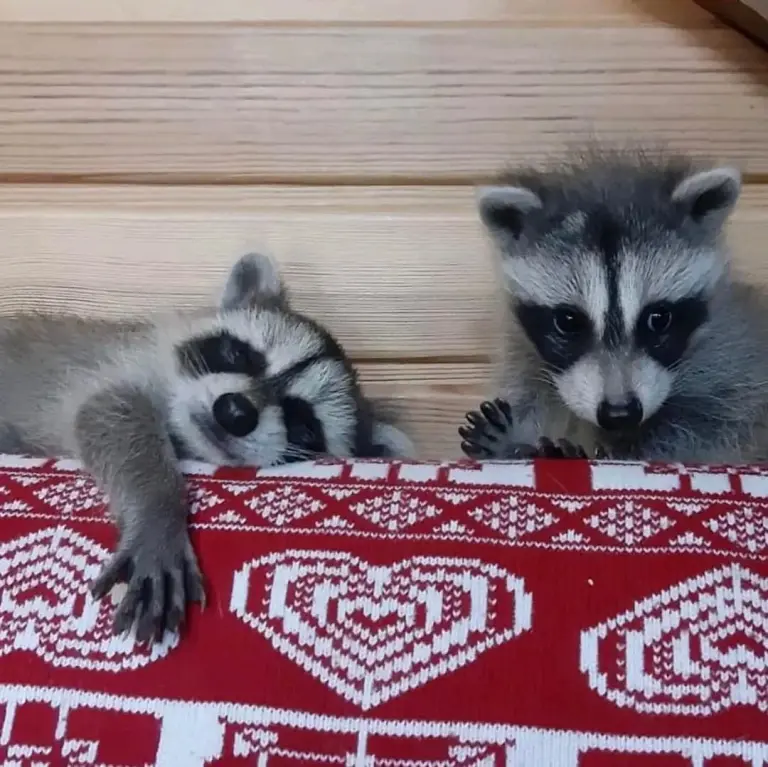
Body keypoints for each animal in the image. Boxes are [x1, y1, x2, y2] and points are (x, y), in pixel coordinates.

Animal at [0, 253, 414, 643]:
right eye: (239, 355)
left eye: (303, 424)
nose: (235, 412)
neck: (183, 435)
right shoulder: (118, 363)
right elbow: (109, 408)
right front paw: (158, 507)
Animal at [459, 148, 768, 464]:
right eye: (568, 321)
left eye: (658, 319)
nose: (620, 413)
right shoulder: (524, 354)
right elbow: (525, 392)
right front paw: (519, 443)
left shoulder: (734, 354)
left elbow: (718, 432)